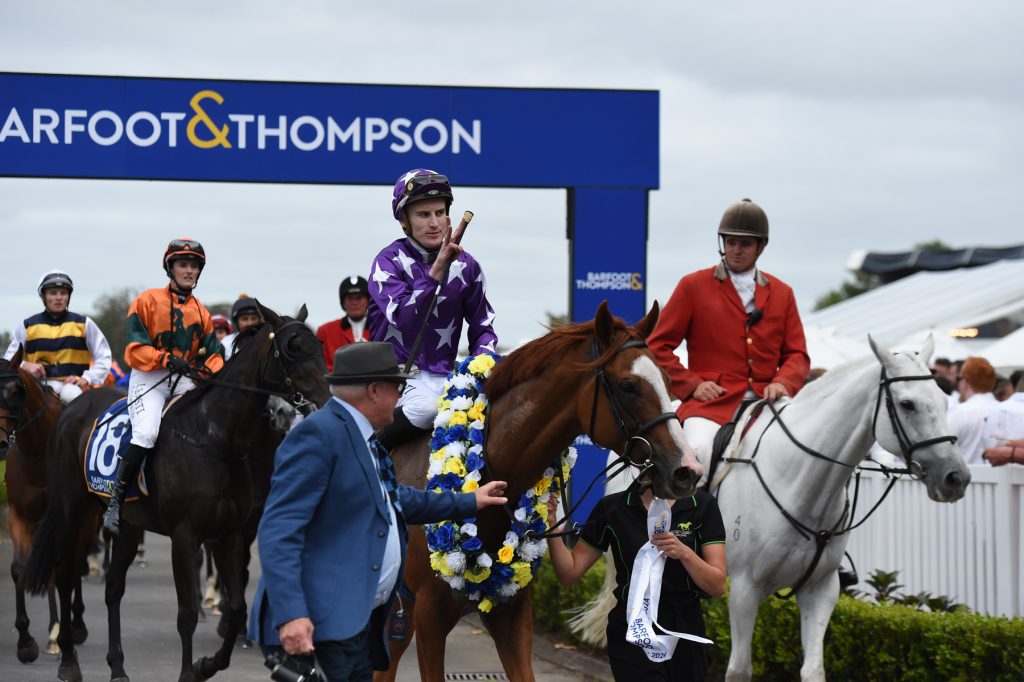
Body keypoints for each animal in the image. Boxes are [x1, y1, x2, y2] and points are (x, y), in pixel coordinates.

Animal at [0, 350, 89, 659]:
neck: (38, 453)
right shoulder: (18, 513)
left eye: (15, 392)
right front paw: (25, 640)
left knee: (76, 563)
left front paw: (59, 632)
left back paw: (74, 625)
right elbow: (19, 568)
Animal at [569, 335, 966, 679]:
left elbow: (813, 669)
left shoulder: (821, 591)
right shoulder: (746, 589)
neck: (804, 483)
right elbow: (739, 669)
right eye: (907, 404)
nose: (956, 477)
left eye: (944, 400)